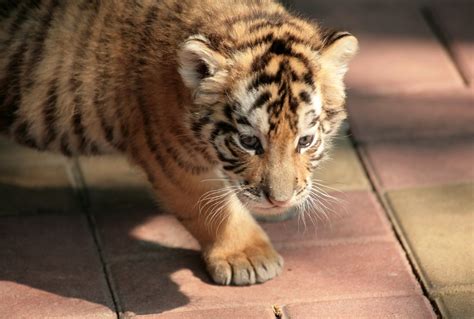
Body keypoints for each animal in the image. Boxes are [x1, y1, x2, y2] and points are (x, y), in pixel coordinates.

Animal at [0, 0, 356, 284]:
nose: (279, 201)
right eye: (248, 141)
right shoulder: (171, 158)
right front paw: (249, 257)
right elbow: (216, 210)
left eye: (305, 141)